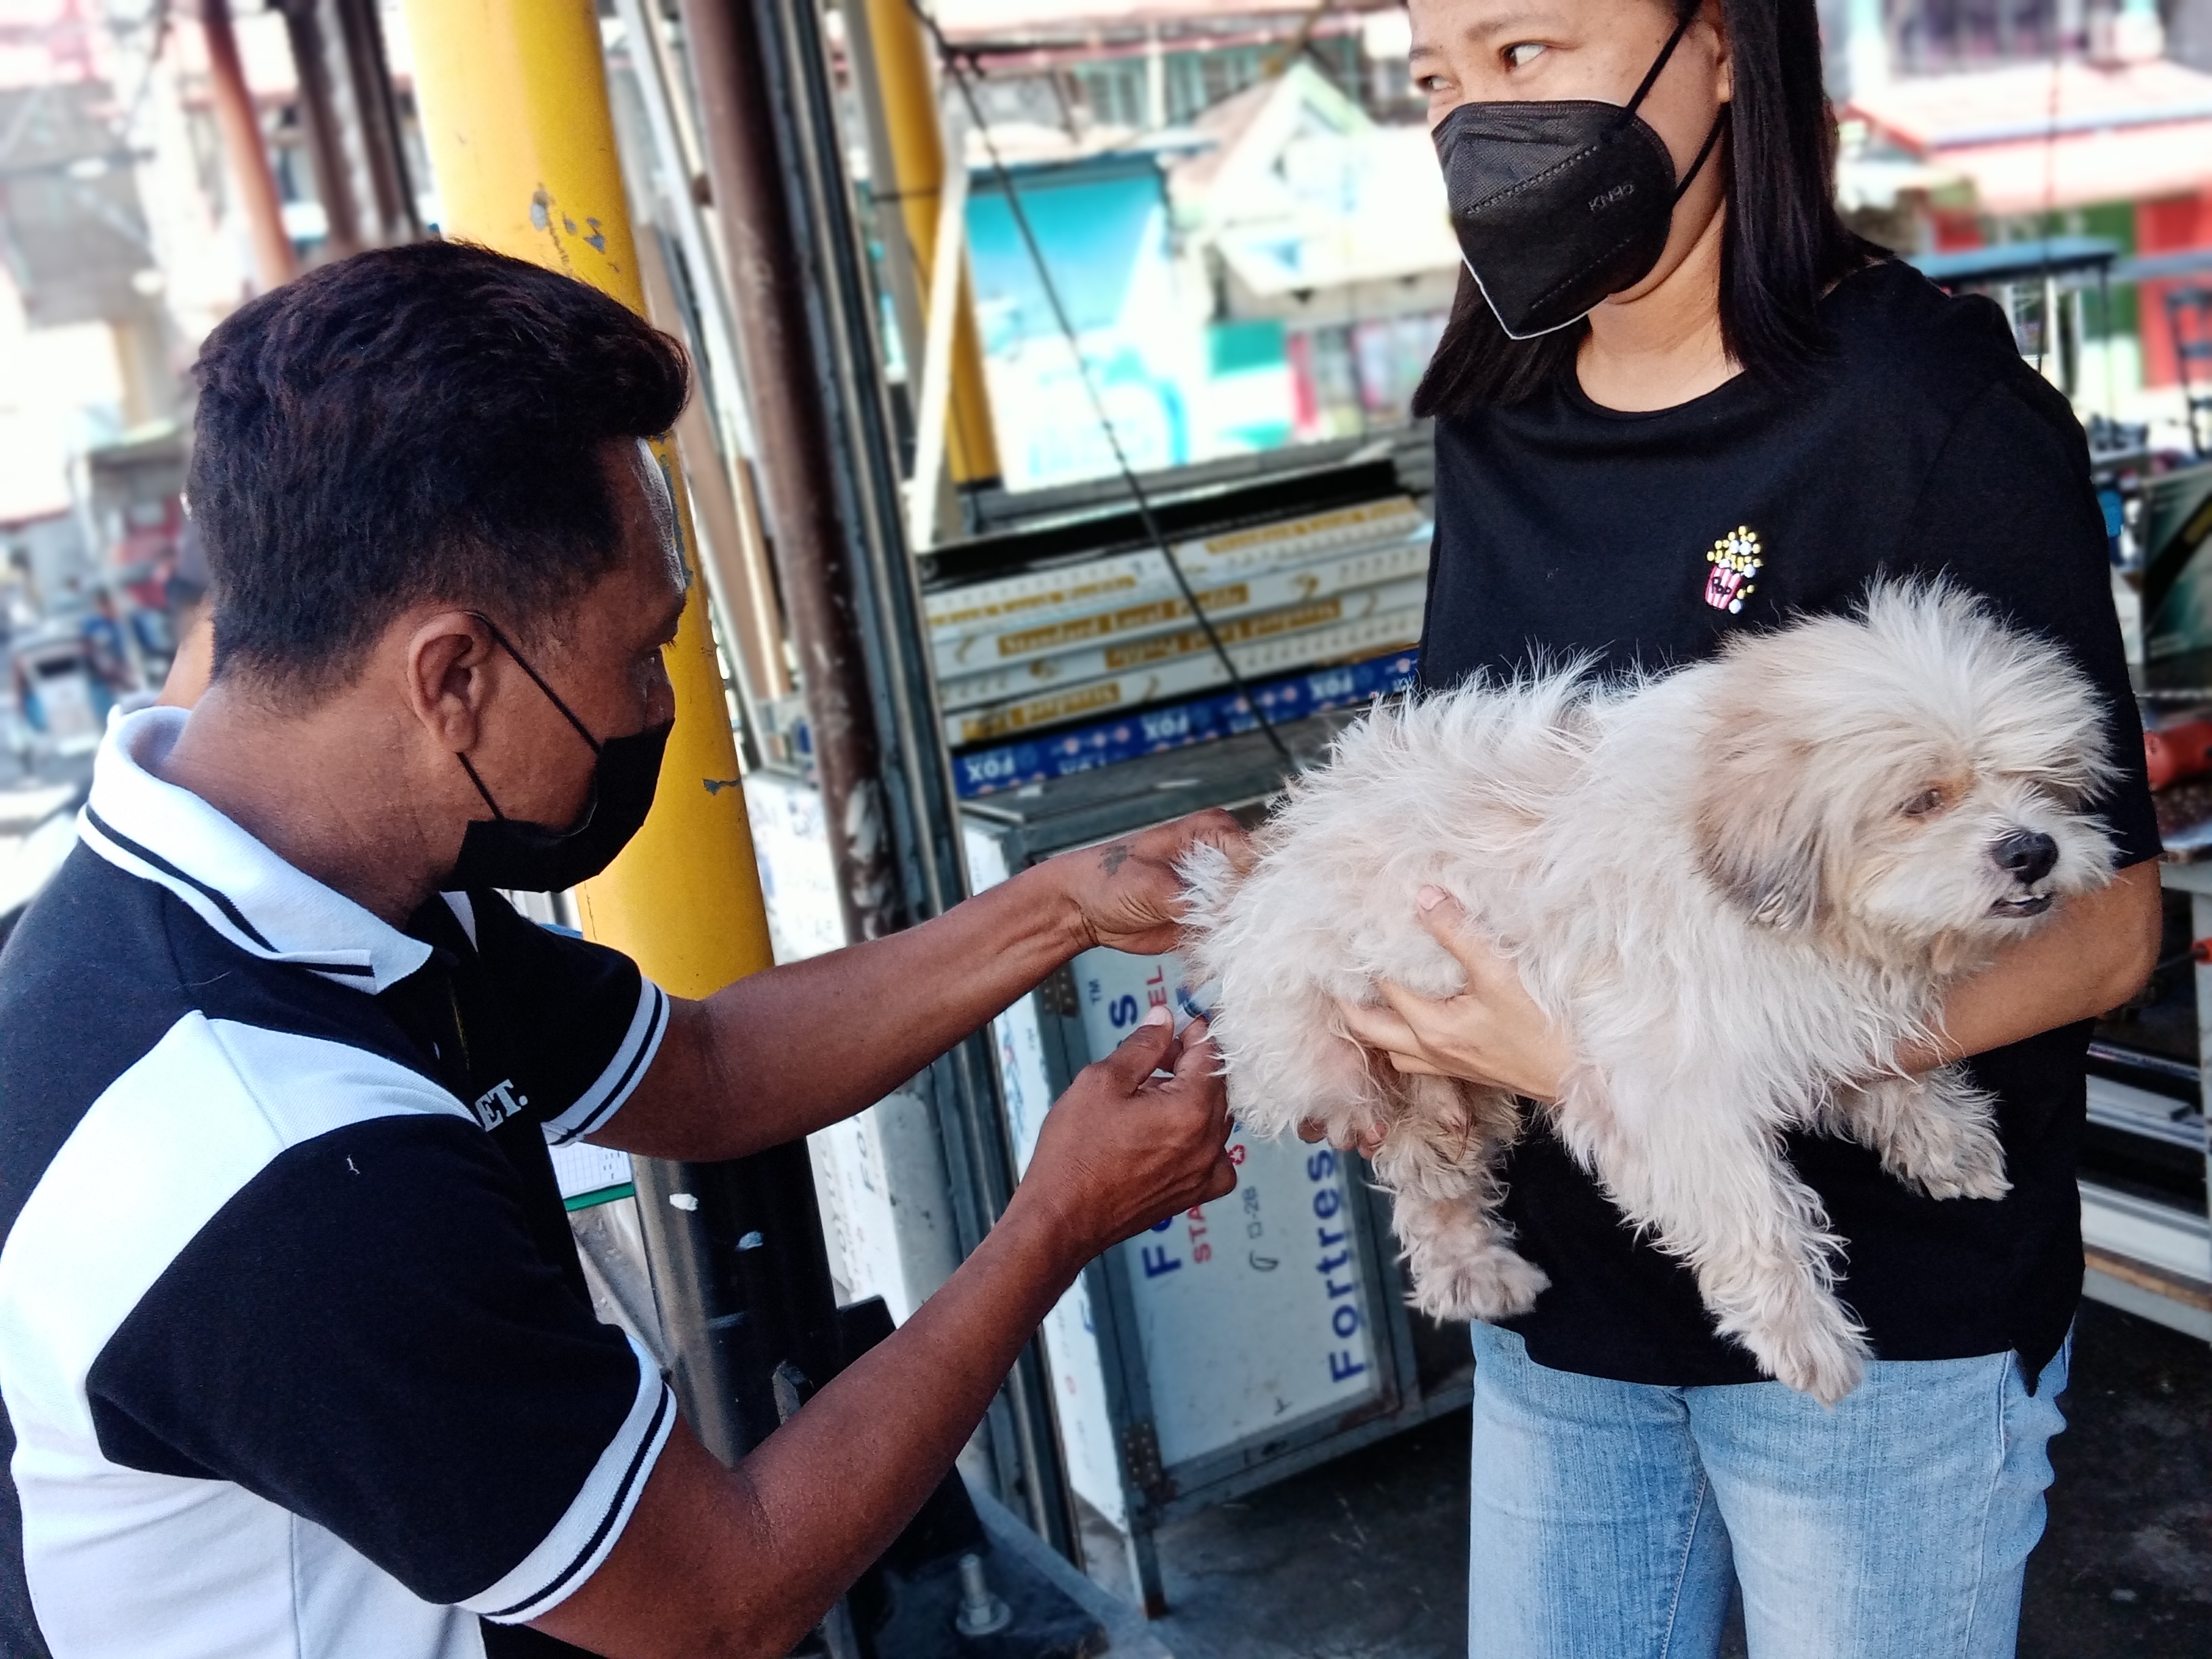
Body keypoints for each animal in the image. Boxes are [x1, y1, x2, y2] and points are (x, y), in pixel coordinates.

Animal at [1185, 583, 2114, 1406]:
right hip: (1362, 1065)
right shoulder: (1668, 1090)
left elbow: (1880, 1065)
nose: (2032, 849)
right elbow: (1752, 1216)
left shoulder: (1810, 1008)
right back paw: (1471, 1271)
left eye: (2047, 783)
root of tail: (1252, 882)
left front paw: (1944, 1137)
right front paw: (1806, 1336)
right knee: (1424, 1180)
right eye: (1924, 800)